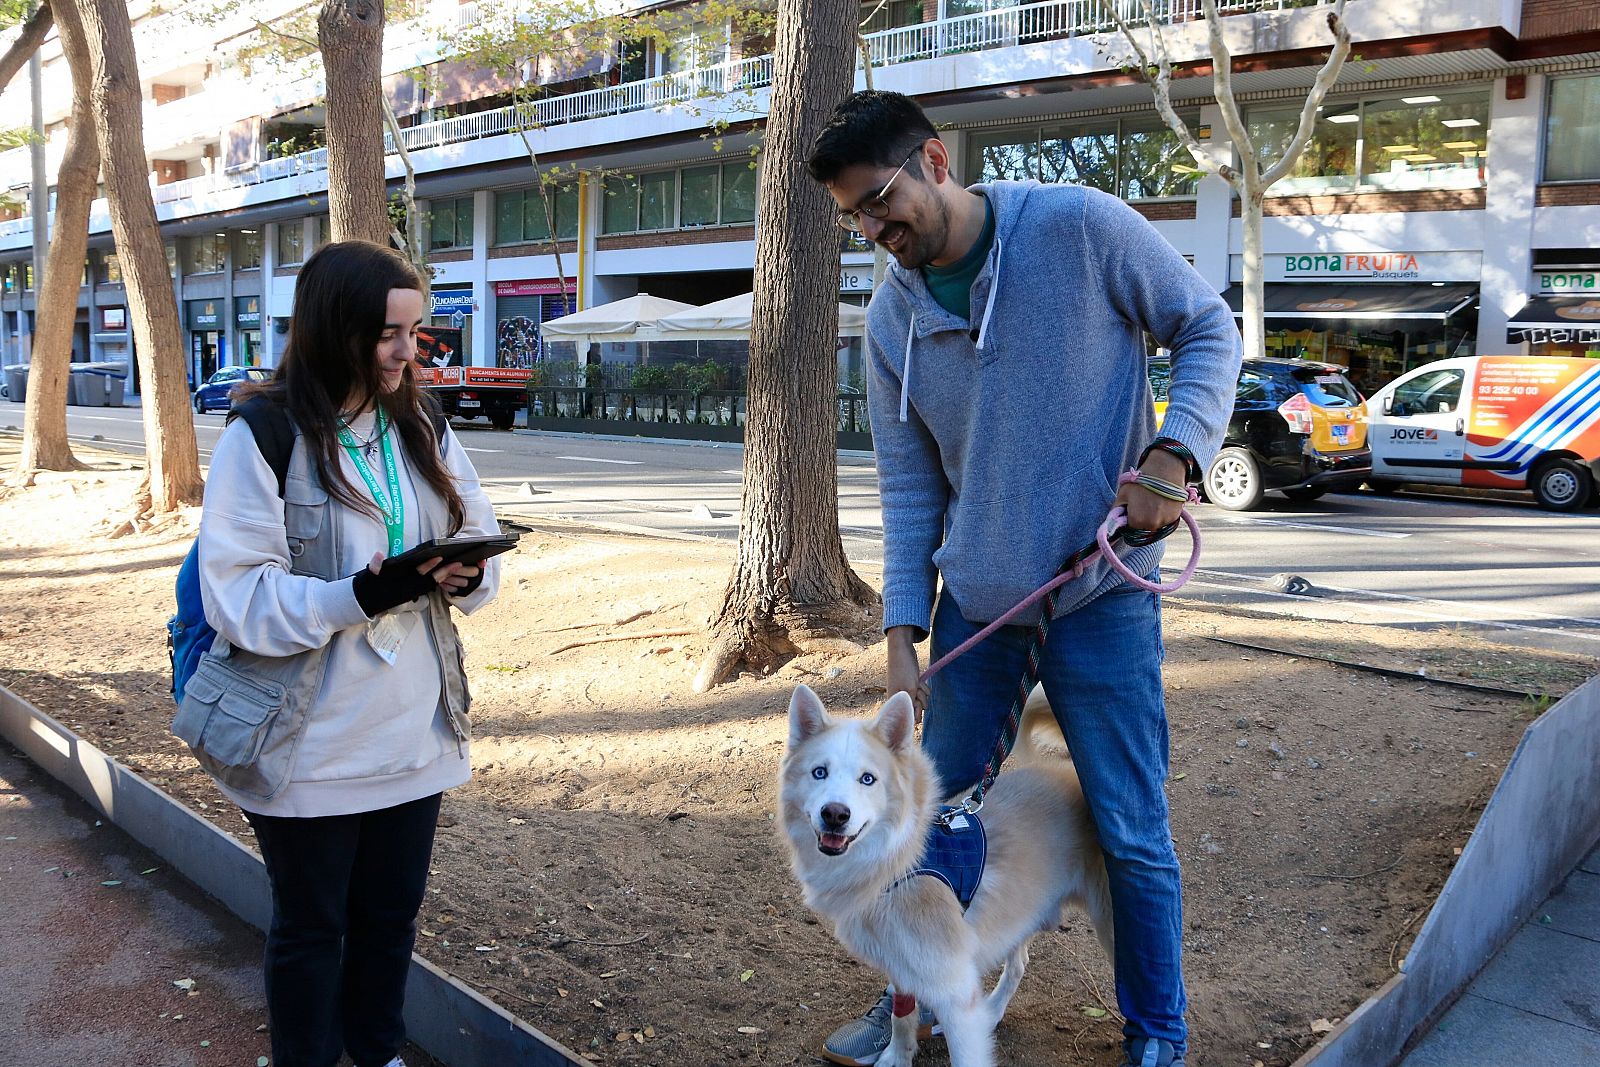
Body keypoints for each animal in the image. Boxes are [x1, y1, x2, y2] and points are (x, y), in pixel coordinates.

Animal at [777, 684, 1113, 1067]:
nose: (835, 814)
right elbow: (902, 1015)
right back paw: (992, 1012)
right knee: (1018, 965)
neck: (899, 862)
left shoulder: (955, 993)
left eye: (868, 779)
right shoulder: (902, 964)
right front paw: (897, 1055)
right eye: (819, 772)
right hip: (1023, 913)